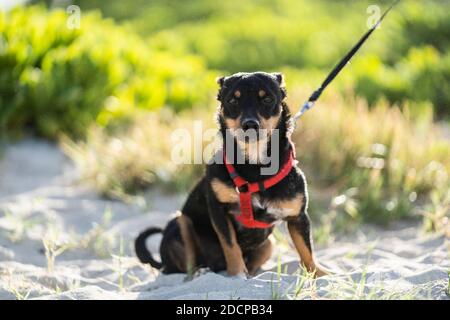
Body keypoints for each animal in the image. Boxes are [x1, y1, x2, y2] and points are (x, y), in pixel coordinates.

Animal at [134, 72, 326, 278]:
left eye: (267, 99)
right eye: (233, 101)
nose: (249, 124)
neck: (255, 167)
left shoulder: (298, 217)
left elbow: (306, 250)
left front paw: (319, 274)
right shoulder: (219, 210)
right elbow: (231, 246)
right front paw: (236, 275)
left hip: (269, 244)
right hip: (181, 221)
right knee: (188, 264)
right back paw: (198, 273)